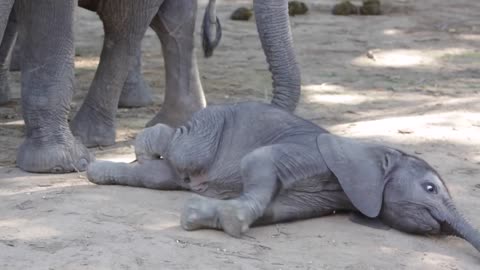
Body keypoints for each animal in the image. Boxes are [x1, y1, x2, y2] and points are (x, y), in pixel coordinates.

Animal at [86, 100, 480, 254]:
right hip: (206, 129)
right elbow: (258, 160)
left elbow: (278, 210)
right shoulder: (317, 153)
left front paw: (202, 216)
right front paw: (230, 222)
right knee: (179, 149)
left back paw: (98, 172)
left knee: (160, 177)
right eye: (429, 188)